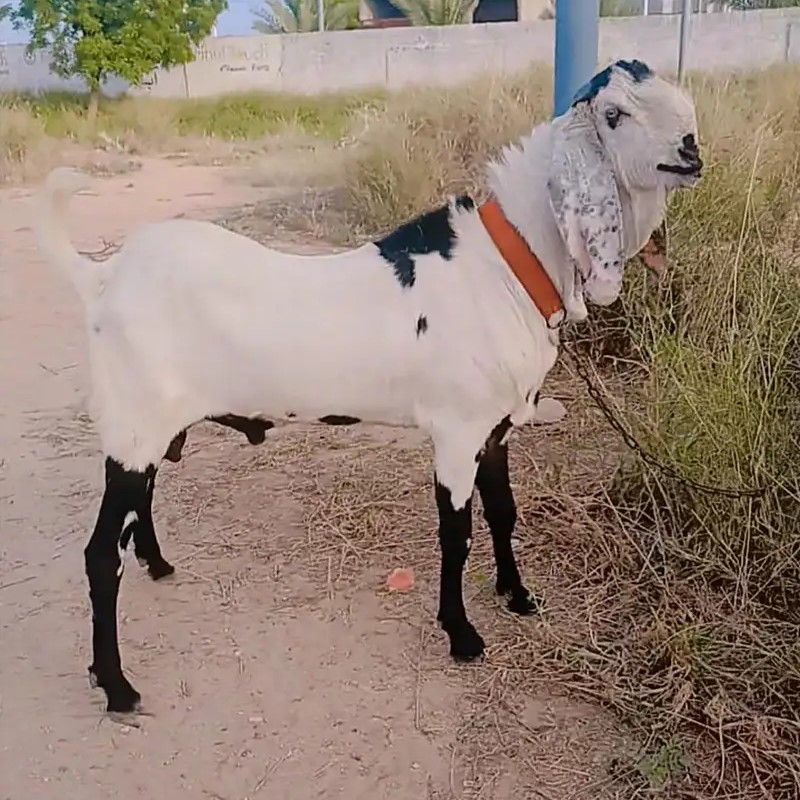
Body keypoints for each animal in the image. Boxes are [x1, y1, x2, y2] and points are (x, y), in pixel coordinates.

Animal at [34, 59, 702, 717]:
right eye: (613, 114)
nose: (691, 150)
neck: (504, 267)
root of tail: (104, 277)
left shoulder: (497, 430)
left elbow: (503, 513)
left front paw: (516, 594)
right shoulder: (457, 434)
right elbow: (456, 533)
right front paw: (461, 634)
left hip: (151, 429)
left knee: (140, 506)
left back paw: (157, 563)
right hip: (131, 429)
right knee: (101, 555)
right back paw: (116, 685)